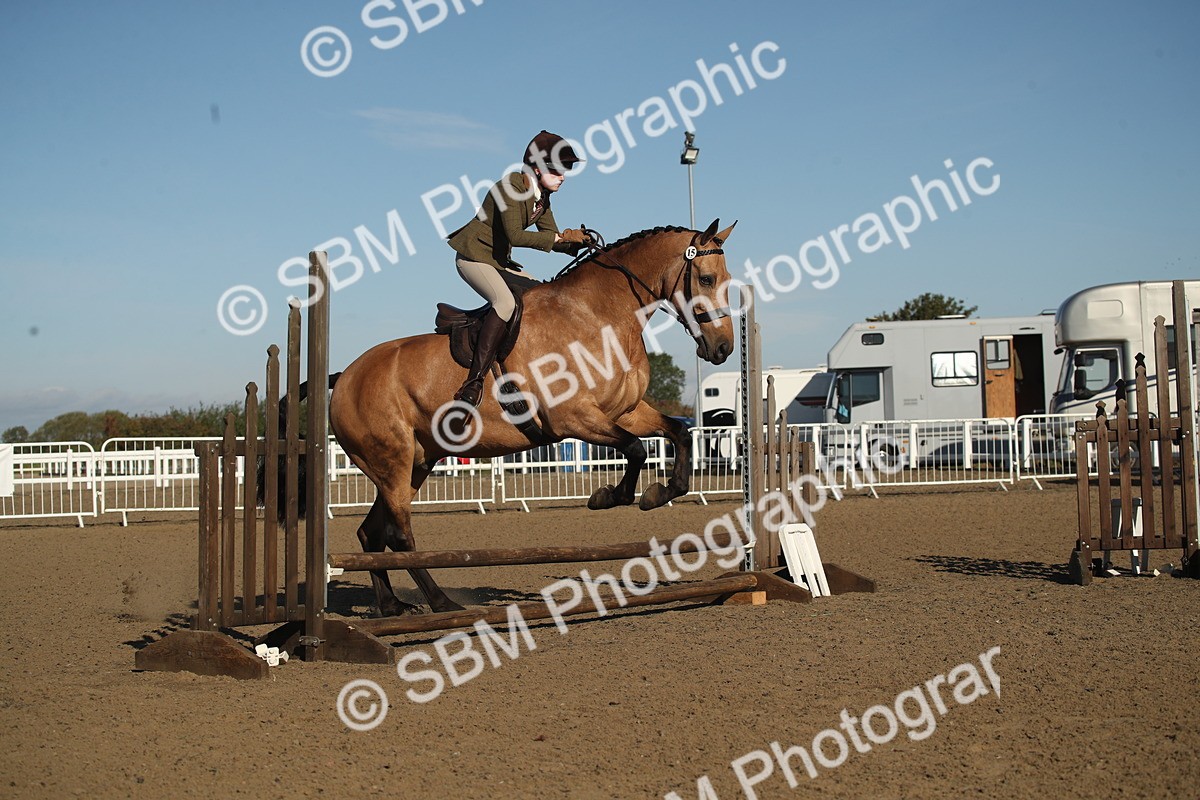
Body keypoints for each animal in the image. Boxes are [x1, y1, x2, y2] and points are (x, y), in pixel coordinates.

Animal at [328, 219, 739, 617]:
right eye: (706, 279)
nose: (723, 348)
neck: (599, 316)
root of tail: (345, 377)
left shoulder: (627, 412)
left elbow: (678, 434)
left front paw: (660, 493)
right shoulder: (574, 418)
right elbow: (637, 449)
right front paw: (608, 496)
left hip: (415, 462)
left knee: (371, 532)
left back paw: (390, 606)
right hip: (393, 462)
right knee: (398, 534)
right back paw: (441, 603)